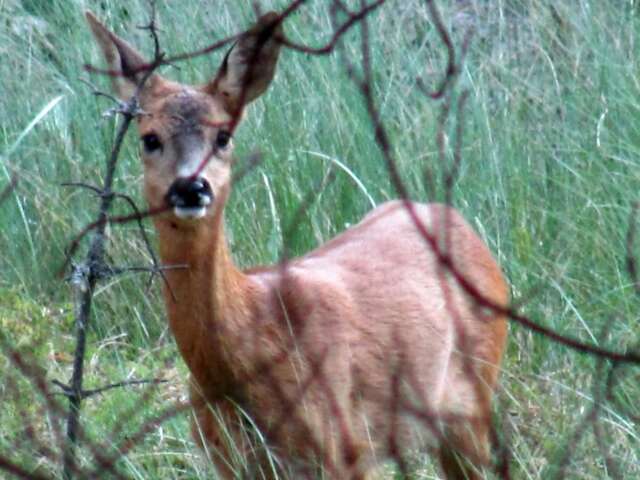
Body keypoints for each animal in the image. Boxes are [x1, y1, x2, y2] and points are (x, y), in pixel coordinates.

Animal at [87, 8, 508, 480]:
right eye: (150, 138)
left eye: (223, 137)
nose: (191, 188)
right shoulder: (227, 460)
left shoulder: (342, 448)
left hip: (472, 400)